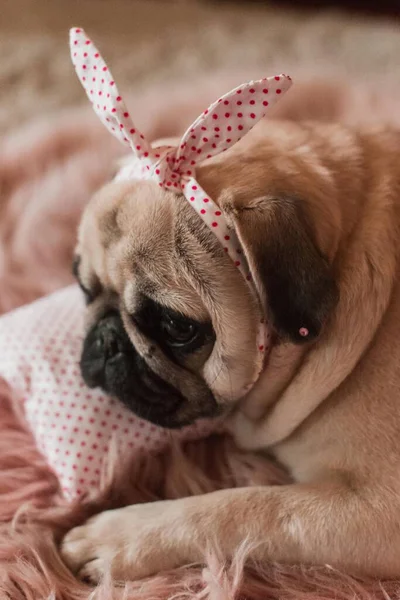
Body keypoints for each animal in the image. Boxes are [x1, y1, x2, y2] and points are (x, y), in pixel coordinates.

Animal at [60, 115, 400, 584]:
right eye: (82, 287)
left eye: (177, 327)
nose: (107, 337)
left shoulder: (377, 509)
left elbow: (242, 508)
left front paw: (115, 536)